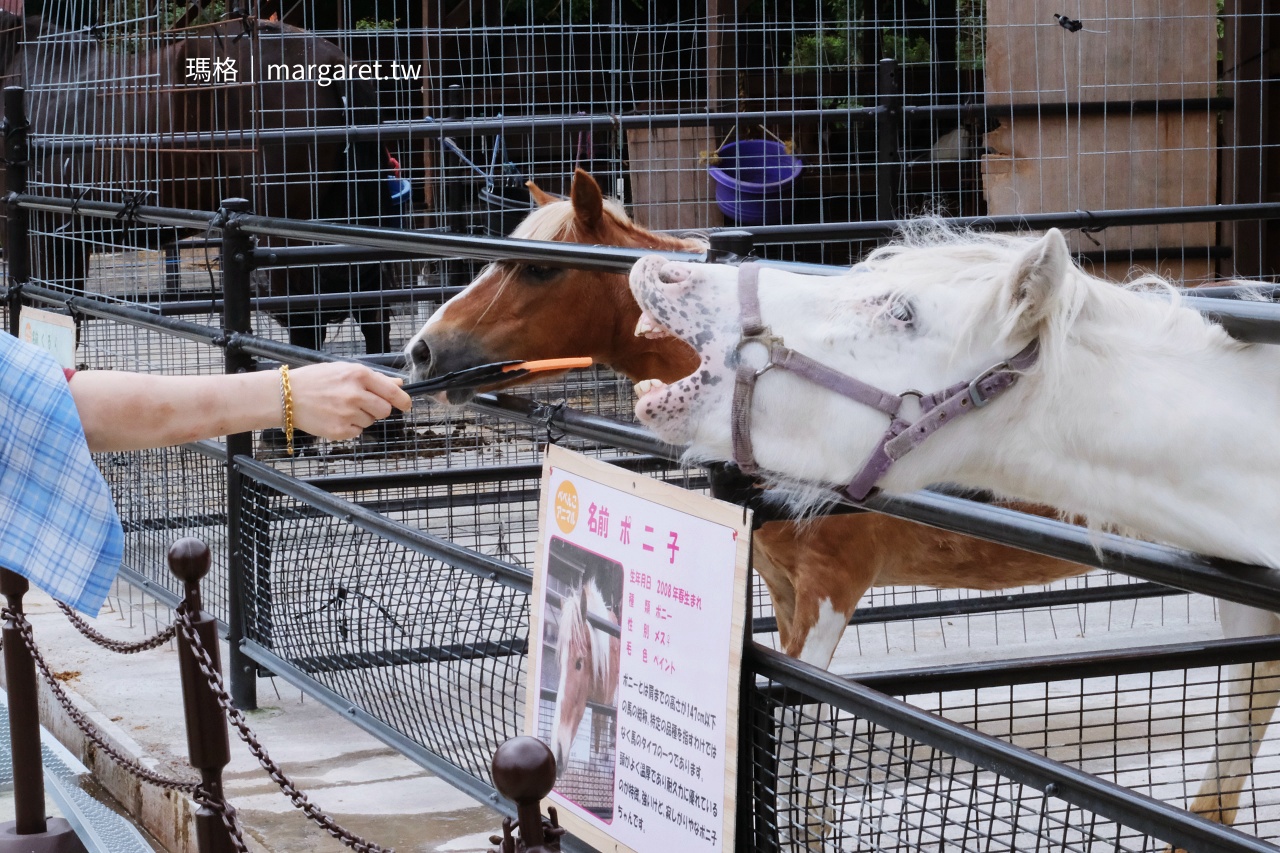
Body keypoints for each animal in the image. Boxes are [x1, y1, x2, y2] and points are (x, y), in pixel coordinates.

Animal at [548, 575, 621, 771]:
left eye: (579, 663)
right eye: (561, 662)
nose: (557, 751)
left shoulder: (605, 699)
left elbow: (601, 721)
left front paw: (599, 758)